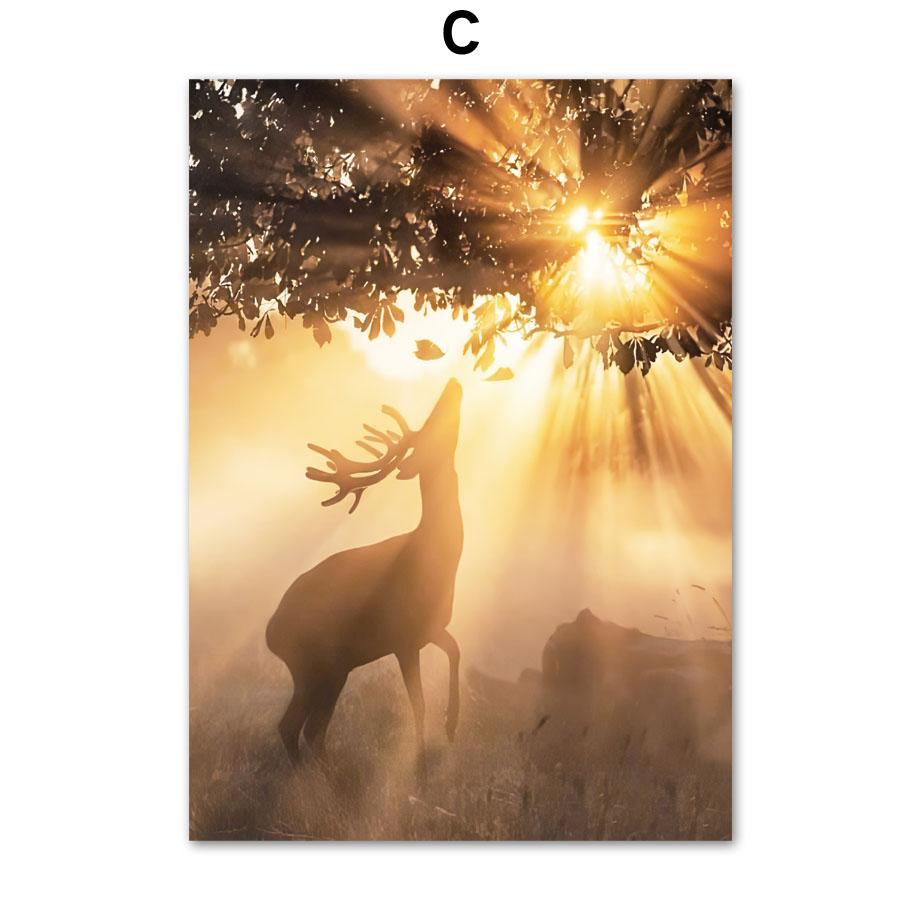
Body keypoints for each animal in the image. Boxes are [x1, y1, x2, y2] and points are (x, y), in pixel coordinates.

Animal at [265, 378, 464, 775]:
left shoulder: (432, 627)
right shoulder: (403, 638)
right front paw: (418, 764)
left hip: (329, 670)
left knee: (307, 728)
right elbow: (418, 704)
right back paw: (321, 780)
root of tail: (270, 633)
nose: (453, 384)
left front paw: (452, 722)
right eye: (429, 428)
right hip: (315, 664)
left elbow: (456, 651)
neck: (438, 562)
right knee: (299, 727)